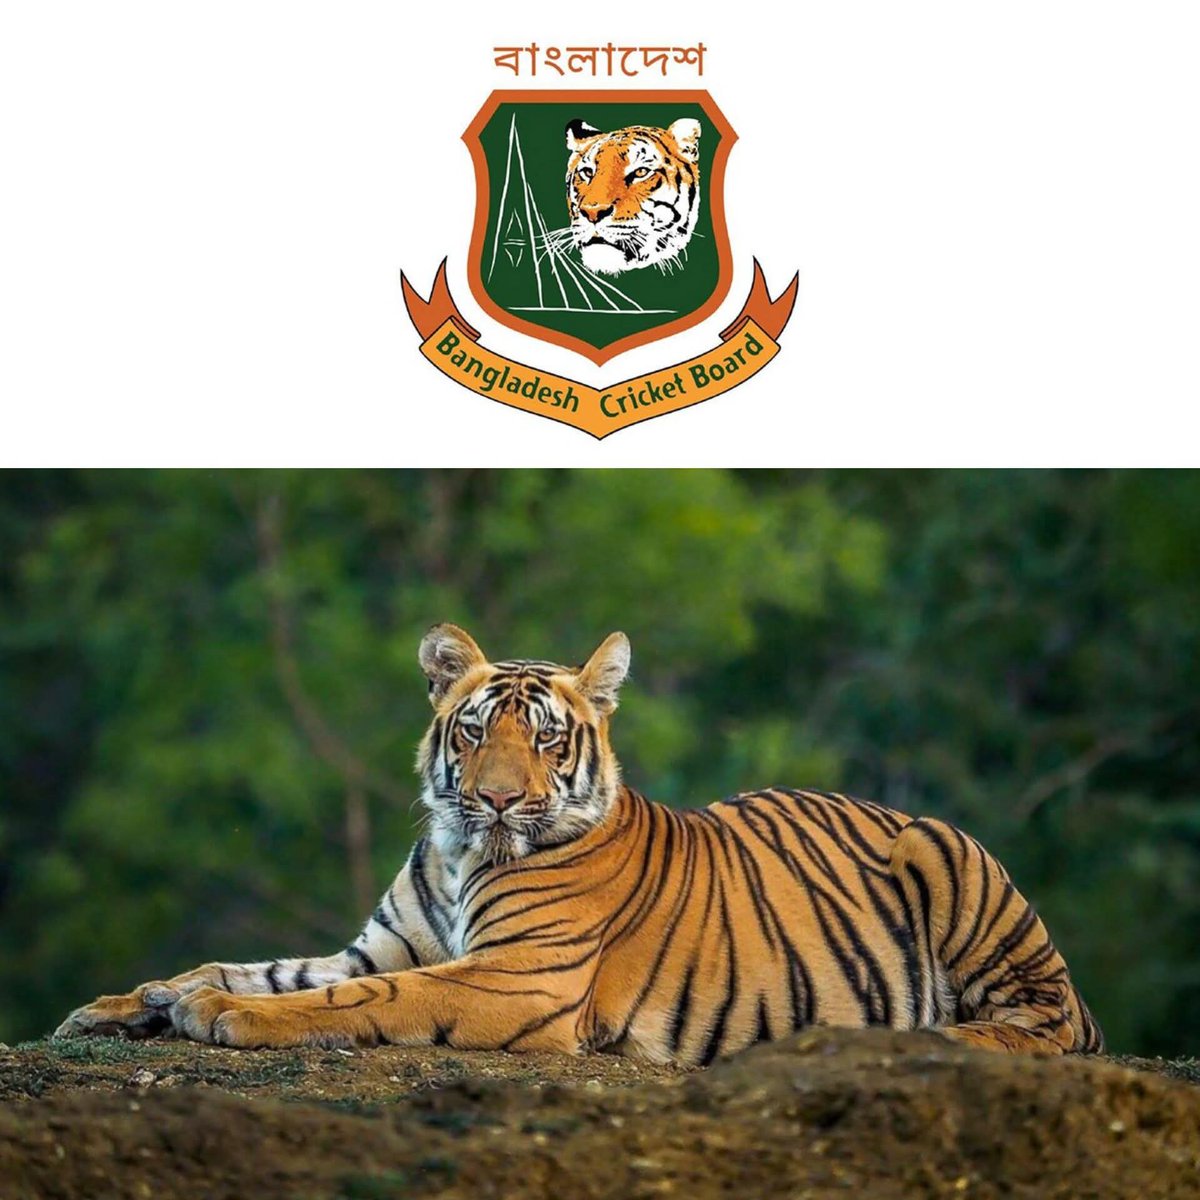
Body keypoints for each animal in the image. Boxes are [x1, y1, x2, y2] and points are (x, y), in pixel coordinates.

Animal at [55, 624, 1103, 1063]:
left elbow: (354, 999)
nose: (495, 799)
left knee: (1045, 1027)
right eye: (476, 730)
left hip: (948, 857)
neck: (458, 852)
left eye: (548, 739)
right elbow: (254, 966)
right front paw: (131, 1003)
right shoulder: (380, 945)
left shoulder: (516, 977)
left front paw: (220, 1017)